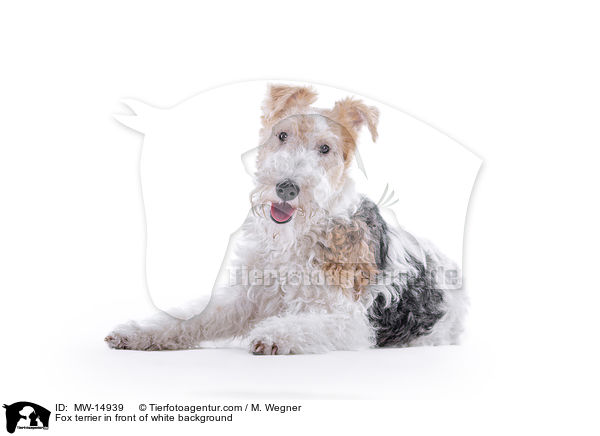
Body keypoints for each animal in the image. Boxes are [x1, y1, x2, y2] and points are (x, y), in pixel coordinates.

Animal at [105, 84, 466, 354]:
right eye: (282, 135)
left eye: (325, 148)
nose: (287, 188)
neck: (296, 236)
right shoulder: (247, 297)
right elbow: (191, 317)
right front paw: (135, 332)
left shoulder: (349, 320)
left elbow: (307, 326)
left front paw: (273, 336)